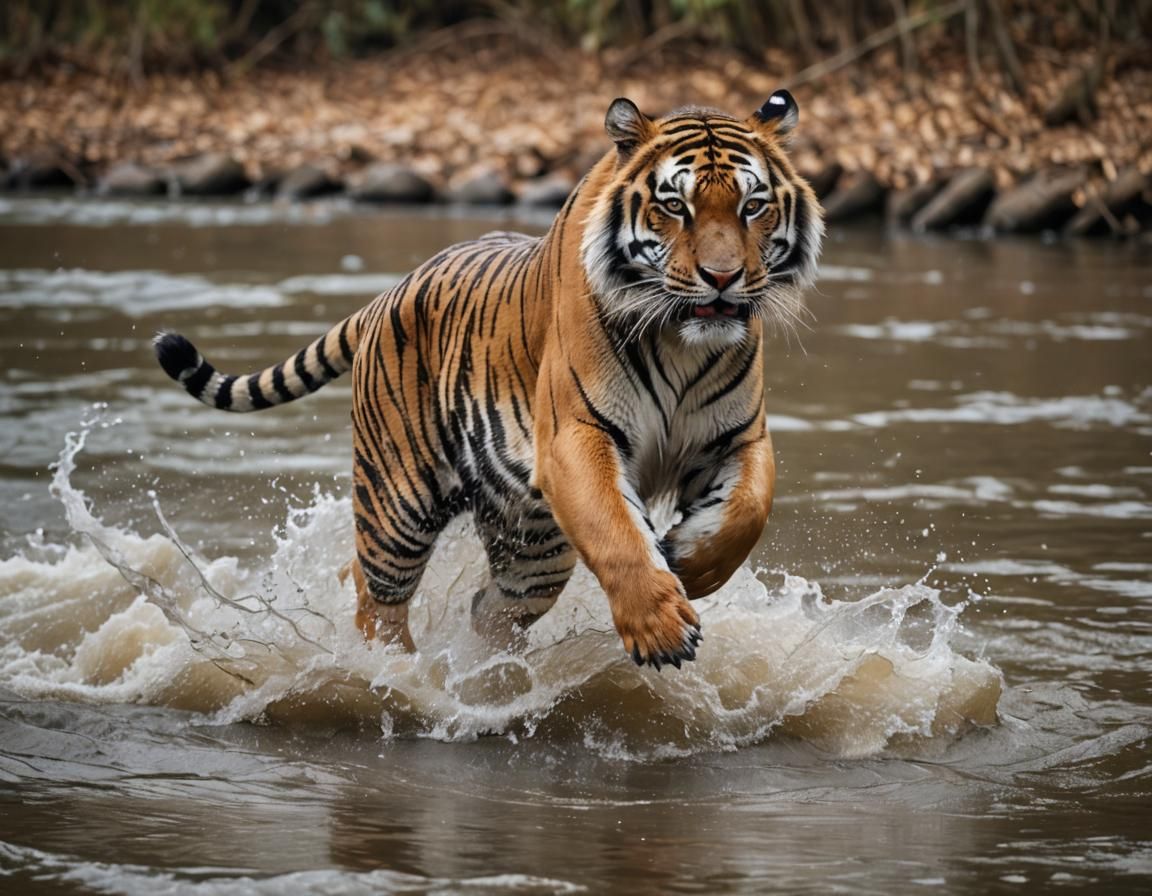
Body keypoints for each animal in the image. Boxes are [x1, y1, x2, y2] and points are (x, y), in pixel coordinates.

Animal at [154, 90, 823, 670]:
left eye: (752, 206)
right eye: (674, 205)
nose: (723, 278)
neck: (681, 340)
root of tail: (386, 294)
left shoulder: (739, 437)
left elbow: (748, 509)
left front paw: (688, 559)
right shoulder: (576, 436)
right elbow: (616, 534)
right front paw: (660, 629)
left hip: (533, 545)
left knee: (488, 609)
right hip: (399, 505)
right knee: (375, 596)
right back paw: (393, 674)